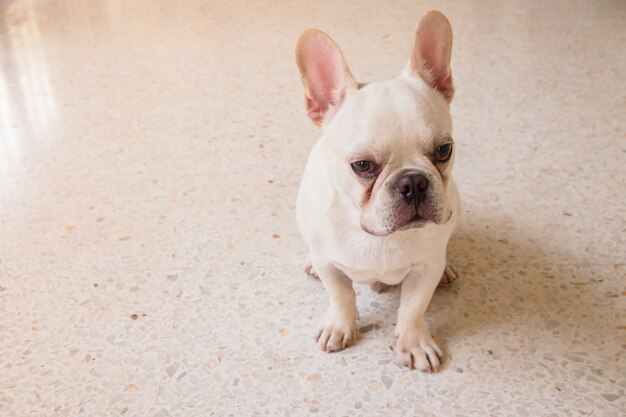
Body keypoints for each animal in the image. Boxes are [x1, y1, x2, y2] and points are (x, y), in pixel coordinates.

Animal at [292, 12, 458, 370]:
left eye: (444, 150)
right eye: (362, 165)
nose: (412, 182)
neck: (377, 234)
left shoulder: (426, 270)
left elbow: (412, 309)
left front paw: (414, 343)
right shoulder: (330, 266)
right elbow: (341, 295)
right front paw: (340, 326)